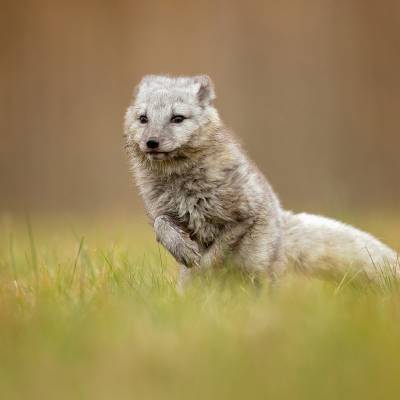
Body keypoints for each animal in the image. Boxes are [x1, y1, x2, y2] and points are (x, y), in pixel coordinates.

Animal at [124, 75, 396, 286]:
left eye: (177, 118)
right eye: (143, 118)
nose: (151, 142)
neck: (181, 184)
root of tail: (282, 224)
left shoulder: (243, 216)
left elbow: (214, 256)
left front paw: (204, 265)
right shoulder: (163, 211)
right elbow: (161, 225)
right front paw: (183, 250)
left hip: (259, 272)